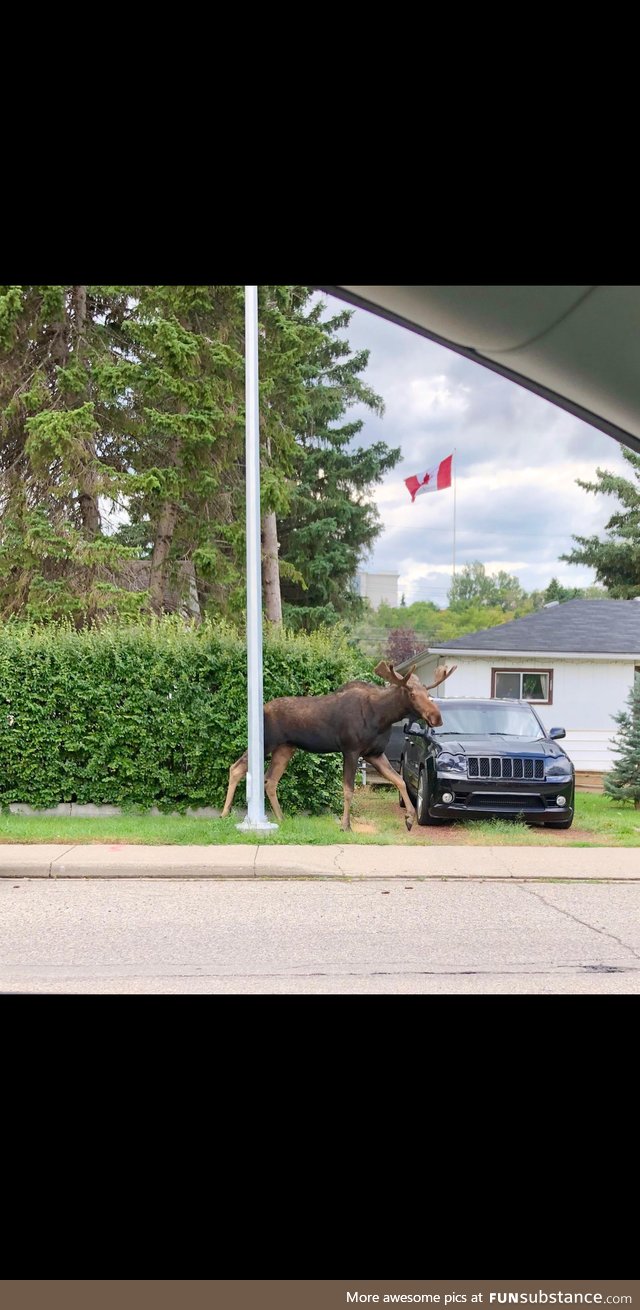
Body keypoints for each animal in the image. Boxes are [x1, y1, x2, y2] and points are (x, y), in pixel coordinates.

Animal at [222, 660, 455, 833]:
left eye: (428, 694)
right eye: (412, 694)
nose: (436, 717)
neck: (382, 717)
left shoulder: (374, 754)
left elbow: (400, 780)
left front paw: (408, 818)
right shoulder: (351, 750)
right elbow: (348, 789)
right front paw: (345, 825)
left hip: (285, 748)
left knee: (269, 780)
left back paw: (281, 818)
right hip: (266, 742)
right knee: (237, 767)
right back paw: (225, 814)